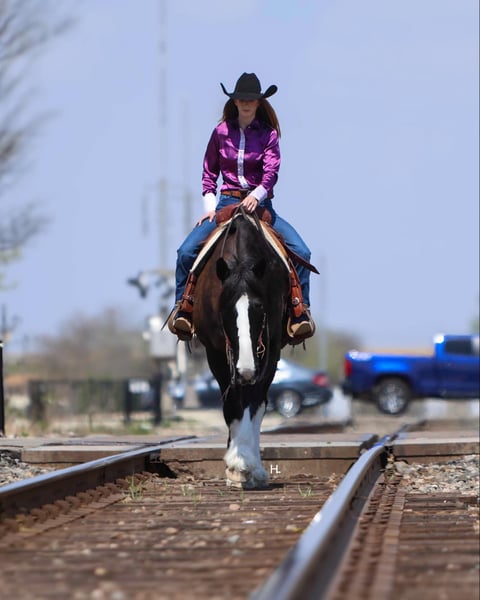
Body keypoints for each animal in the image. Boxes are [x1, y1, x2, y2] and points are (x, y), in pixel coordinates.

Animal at [192, 208, 290, 488]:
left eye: (260, 309)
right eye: (225, 309)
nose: (245, 370)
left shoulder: (271, 350)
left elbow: (255, 402)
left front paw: (247, 463)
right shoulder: (215, 351)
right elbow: (232, 404)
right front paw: (236, 465)